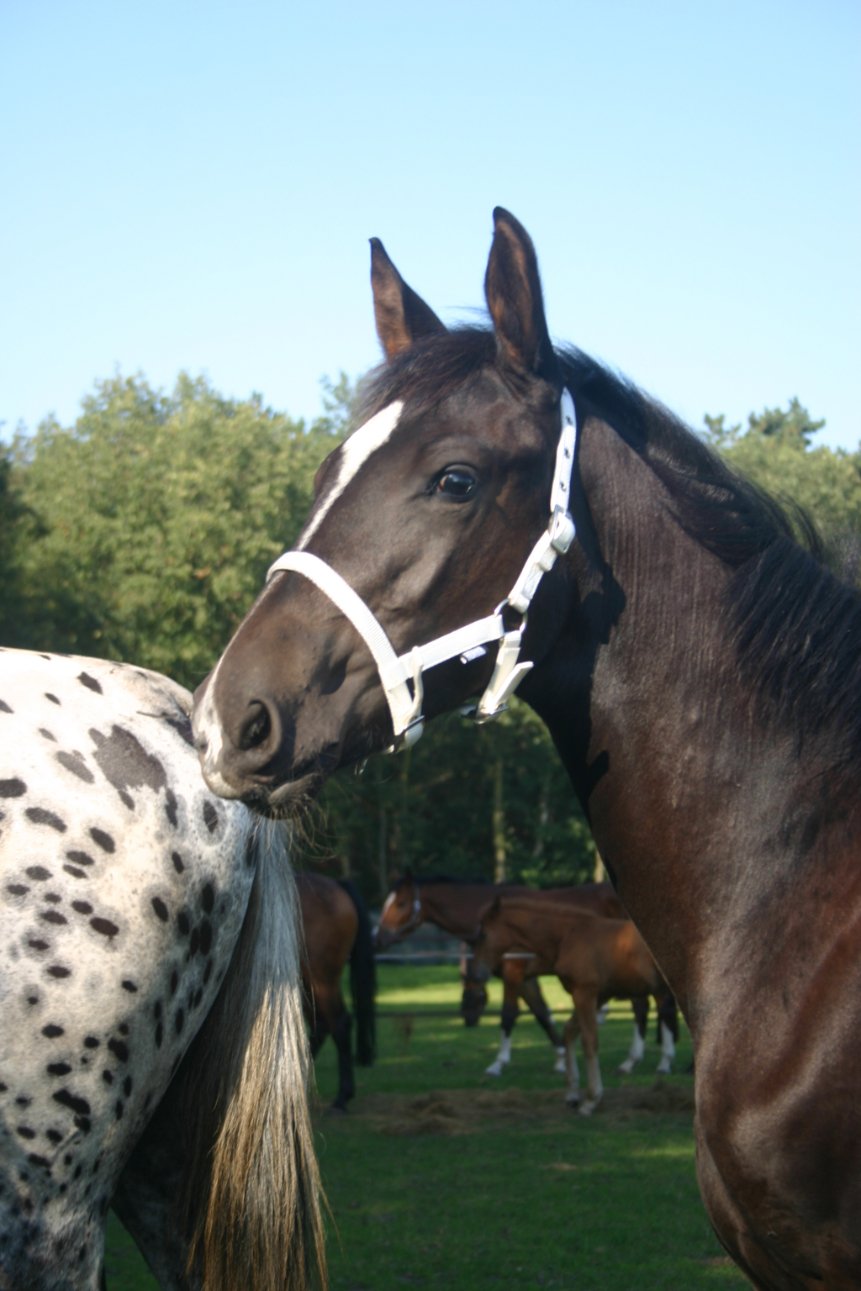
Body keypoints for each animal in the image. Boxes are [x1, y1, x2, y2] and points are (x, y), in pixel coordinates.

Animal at [376, 873, 670, 1078]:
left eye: (400, 903)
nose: (377, 937)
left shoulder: (513, 973)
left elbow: (508, 1015)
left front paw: (498, 1064)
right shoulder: (527, 979)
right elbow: (542, 1015)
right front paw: (561, 1060)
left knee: (653, 1006)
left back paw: (660, 1061)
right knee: (645, 1007)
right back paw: (635, 1061)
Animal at [469, 894, 675, 1114]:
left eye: (483, 934)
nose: (476, 973)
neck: (569, 936)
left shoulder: (585, 992)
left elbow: (589, 1042)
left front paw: (591, 1100)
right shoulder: (598, 995)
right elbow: (569, 1032)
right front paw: (572, 1095)